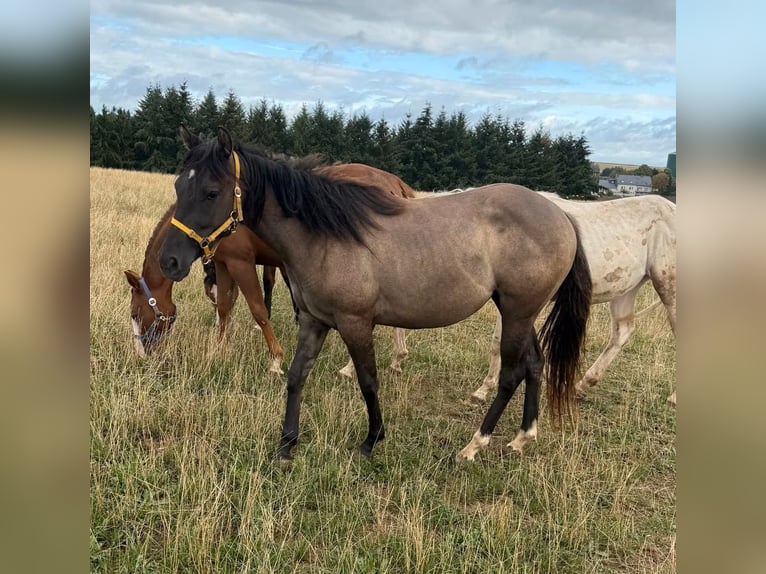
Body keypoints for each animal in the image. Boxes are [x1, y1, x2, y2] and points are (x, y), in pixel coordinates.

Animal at [125, 162, 415, 376]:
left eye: (136, 314)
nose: (141, 356)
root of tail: (393, 182)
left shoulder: (242, 263)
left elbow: (258, 310)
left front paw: (275, 360)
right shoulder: (225, 264)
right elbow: (226, 307)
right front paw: (220, 349)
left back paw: (351, 368)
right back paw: (397, 357)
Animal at [158, 126, 592, 462]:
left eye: (212, 192)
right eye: (179, 184)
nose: (170, 261)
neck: (325, 235)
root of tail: (561, 215)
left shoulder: (355, 323)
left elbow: (368, 380)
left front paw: (371, 441)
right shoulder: (314, 321)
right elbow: (297, 377)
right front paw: (286, 444)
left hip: (517, 312)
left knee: (511, 374)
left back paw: (474, 444)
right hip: (519, 310)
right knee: (534, 365)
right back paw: (522, 438)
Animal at [469, 192, 677, 407]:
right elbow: (496, 343)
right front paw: (482, 392)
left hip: (668, 286)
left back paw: (674, 398)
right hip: (625, 290)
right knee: (623, 331)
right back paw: (581, 386)